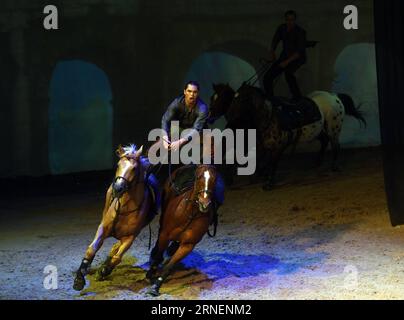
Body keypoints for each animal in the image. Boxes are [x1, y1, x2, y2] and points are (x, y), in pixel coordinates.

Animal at [73, 144, 159, 292]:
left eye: (134, 168)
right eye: (118, 165)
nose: (118, 188)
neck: (125, 208)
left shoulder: (130, 237)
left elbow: (118, 256)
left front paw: (103, 271)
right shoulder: (103, 229)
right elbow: (92, 249)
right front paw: (79, 279)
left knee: (116, 248)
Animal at [145, 165, 218, 298]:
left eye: (215, 179)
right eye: (198, 177)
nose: (205, 204)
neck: (190, 213)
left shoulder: (188, 245)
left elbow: (170, 266)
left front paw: (155, 287)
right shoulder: (165, 235)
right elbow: (158, 255)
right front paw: (151, 273)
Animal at [210, 82, 368, 191]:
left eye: (241, 99)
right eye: (213, 98)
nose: (210, 116)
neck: (268, 117)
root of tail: (334, 96)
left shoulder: (277, 147)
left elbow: (271, 163)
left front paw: (268, 183)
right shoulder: (261, 146)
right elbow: (260, 161)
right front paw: (258, 176)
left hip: (333, 129)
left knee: (335, 145)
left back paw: (334, 166)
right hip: (317, 131)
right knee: (324, 141)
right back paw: (317, 162)